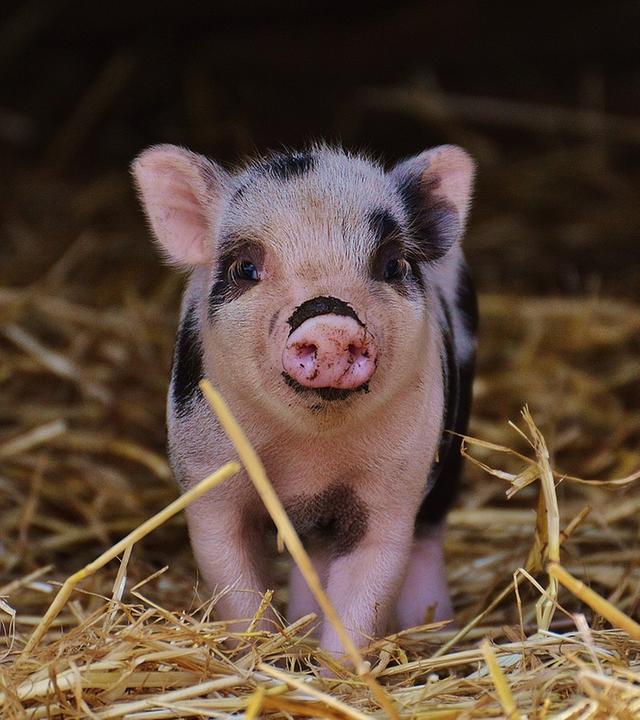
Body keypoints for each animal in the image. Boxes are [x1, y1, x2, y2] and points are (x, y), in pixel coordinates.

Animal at [131, 142, 477, 657]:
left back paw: (434, 631)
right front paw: (260, 656)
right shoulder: (208, 476)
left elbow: (367, 588)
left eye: (393, 265)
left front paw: (336, 670)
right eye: (245, 267)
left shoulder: (393, 487)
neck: (309, 457)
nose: (330, 322)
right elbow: (233, 582)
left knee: (427, 536)